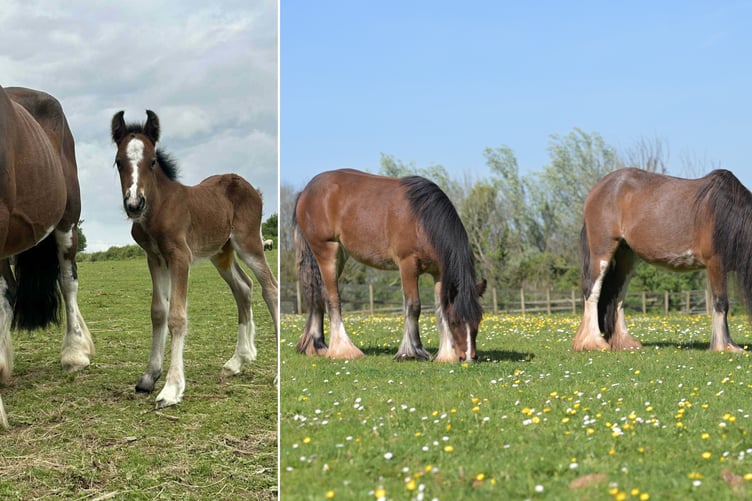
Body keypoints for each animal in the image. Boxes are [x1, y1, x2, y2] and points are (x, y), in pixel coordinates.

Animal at [110, 110, 278, 408]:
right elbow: (158, 311)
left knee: (270, 288)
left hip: (249, 244)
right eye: (118, 162)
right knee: (244, 288)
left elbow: (177, 316)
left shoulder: (180, 257)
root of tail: (251, 188)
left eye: (152, 161)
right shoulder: (154, 258)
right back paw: (238, 360)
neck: (158, 209)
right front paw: (149, 376)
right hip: (221, 253)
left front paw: (172, 388)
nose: (134, 204)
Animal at [293, 169, 485, 362]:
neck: (422, 220)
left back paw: (316, 346)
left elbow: (440, 308)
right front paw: (411, 352)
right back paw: (344, 350)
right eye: (455, 321)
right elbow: (413, 306)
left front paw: (447, 354)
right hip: (326, 251)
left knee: (318, 294)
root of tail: (306, 191)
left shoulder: (439, 272)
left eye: (478, 321)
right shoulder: (408, 264)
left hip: (339, 255)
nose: (468, 357)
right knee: (332, 298)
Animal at [574, 167, 752, 353]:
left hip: (626, 257)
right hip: (601, 253)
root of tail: (598, 188)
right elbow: (721, 303)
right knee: (592, 291)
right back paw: (593, 343)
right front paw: (725, 347)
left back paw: (625, 343)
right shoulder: (715, 263)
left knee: (617, 295)